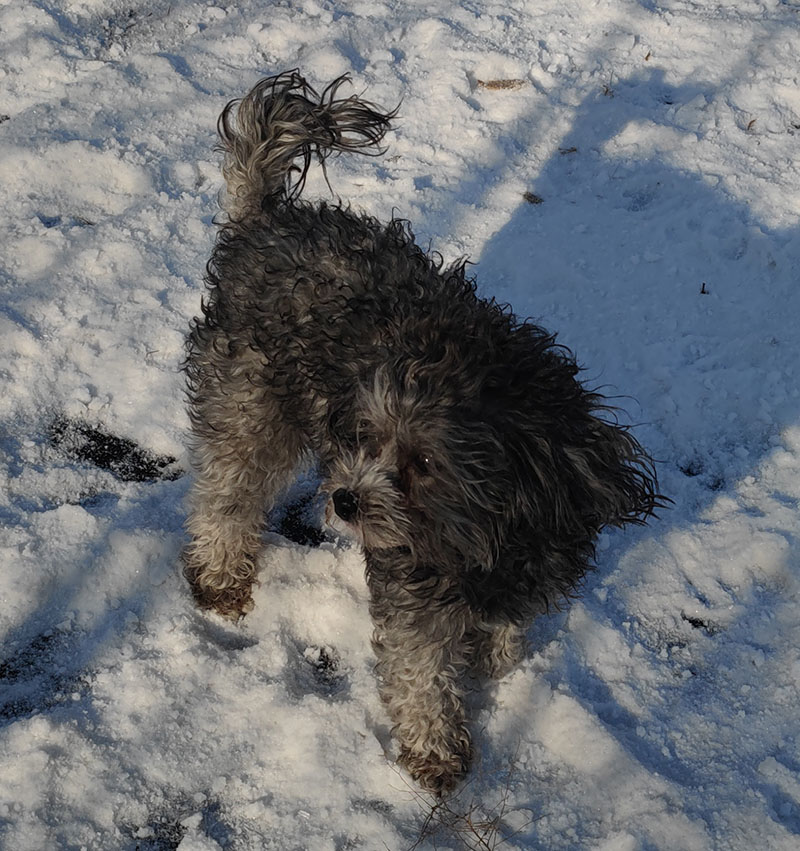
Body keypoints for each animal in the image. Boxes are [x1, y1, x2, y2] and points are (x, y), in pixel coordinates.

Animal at [183, 70, 664, 796]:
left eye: (425, 462)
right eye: (366, 437)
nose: (345, 500)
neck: (494, 532)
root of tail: (265, 220)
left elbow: (504, 627)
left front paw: (492, 658)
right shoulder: (413, 582)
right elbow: (420, 672)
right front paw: (437, 749)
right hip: (249, 406)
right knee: (226, 493)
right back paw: (219, 575)